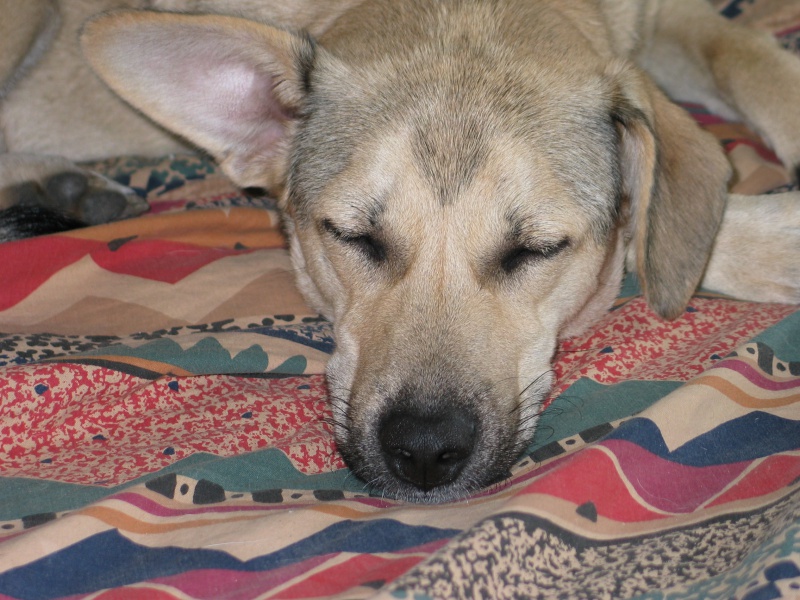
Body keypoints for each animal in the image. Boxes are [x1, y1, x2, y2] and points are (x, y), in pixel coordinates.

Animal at [4, 0, 800, 502]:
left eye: (535, 248)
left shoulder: (663, 19)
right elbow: (654, 232)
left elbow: (750, 59)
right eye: (355, 236)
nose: (422, 453)